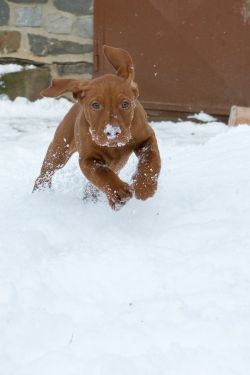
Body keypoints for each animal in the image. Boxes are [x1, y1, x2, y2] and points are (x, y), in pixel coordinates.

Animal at [32, 45, 160, 212]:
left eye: (125, 104)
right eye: (96, 105)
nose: (112, 132)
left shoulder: (147, 137)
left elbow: (151, 159)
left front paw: (145, 187)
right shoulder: (87, 159)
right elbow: (101, 173)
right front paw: (117, 192)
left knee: (93, 185)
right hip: (59, 150)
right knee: (46, 171)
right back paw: (40, 193)